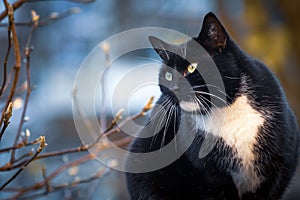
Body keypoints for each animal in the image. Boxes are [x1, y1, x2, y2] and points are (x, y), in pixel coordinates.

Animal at [125, 11, 298, 199]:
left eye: (192, 67)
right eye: (168, 75)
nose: (175, 88)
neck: (227, 110)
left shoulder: (279, 163)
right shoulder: (210, 174)